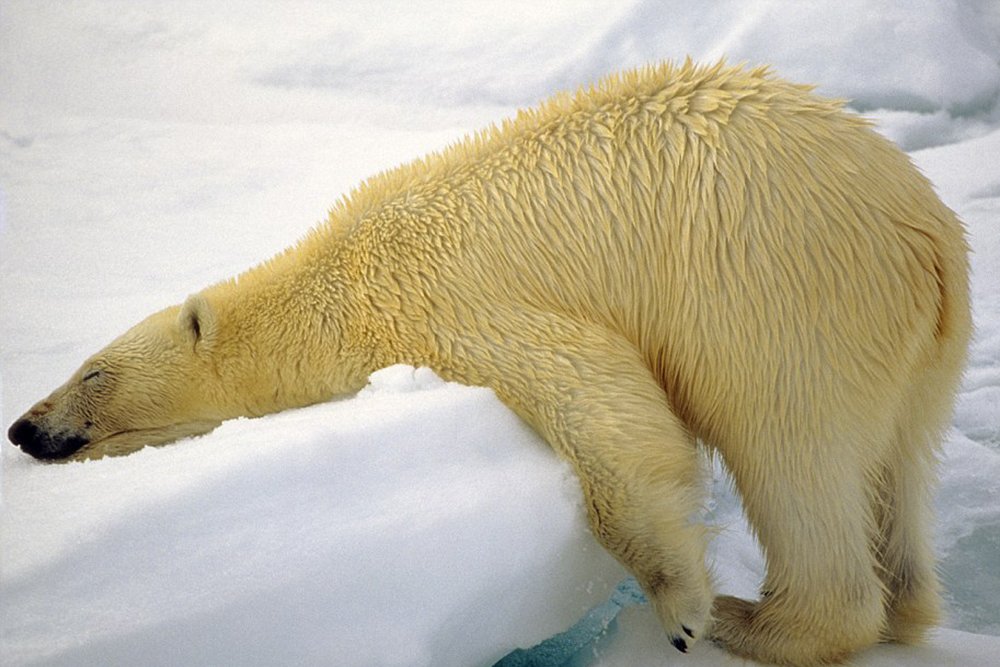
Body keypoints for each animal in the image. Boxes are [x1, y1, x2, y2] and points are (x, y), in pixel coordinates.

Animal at [8, 61, 971, 666]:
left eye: (91, 372)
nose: (23, 426)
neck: (339, 277)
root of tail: (926, 233)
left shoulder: (449, 302)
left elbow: (604, 407)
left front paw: (683, 606)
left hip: (783, 297)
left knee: (790, 448)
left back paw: (759, 621)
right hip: (922, 345)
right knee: (899, 460)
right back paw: (905, 602)